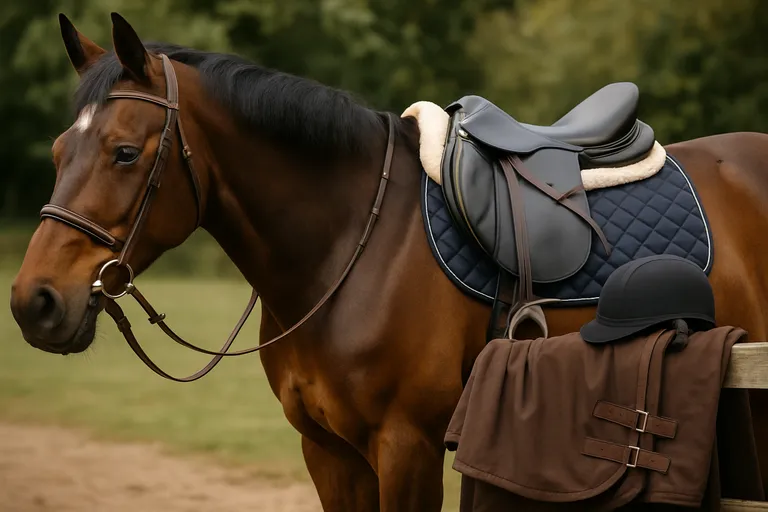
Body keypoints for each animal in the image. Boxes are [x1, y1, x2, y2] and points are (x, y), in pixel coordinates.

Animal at [9, 12, 768, 511]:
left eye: (124, 153)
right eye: (58, 152)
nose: (33, 302)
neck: (347, 247)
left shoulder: (407, 445)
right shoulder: (328, 451)